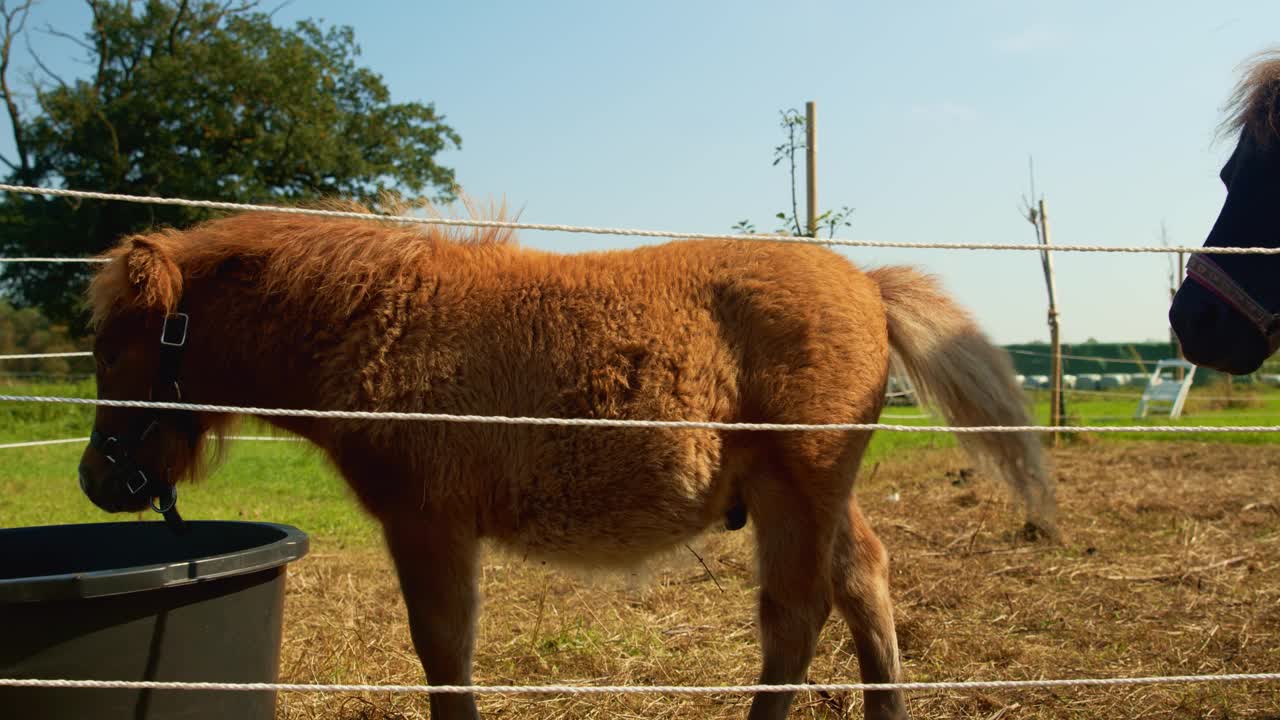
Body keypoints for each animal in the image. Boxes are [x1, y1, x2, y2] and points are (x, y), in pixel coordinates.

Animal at [77, 207, 1049, 717]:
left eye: (115, 349)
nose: (97, 478)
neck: (386, 322)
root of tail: (867, 287)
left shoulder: (427, 523)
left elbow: (443, 650)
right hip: (817, 494)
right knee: (863, 582)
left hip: (796, 489)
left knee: (796, 617)